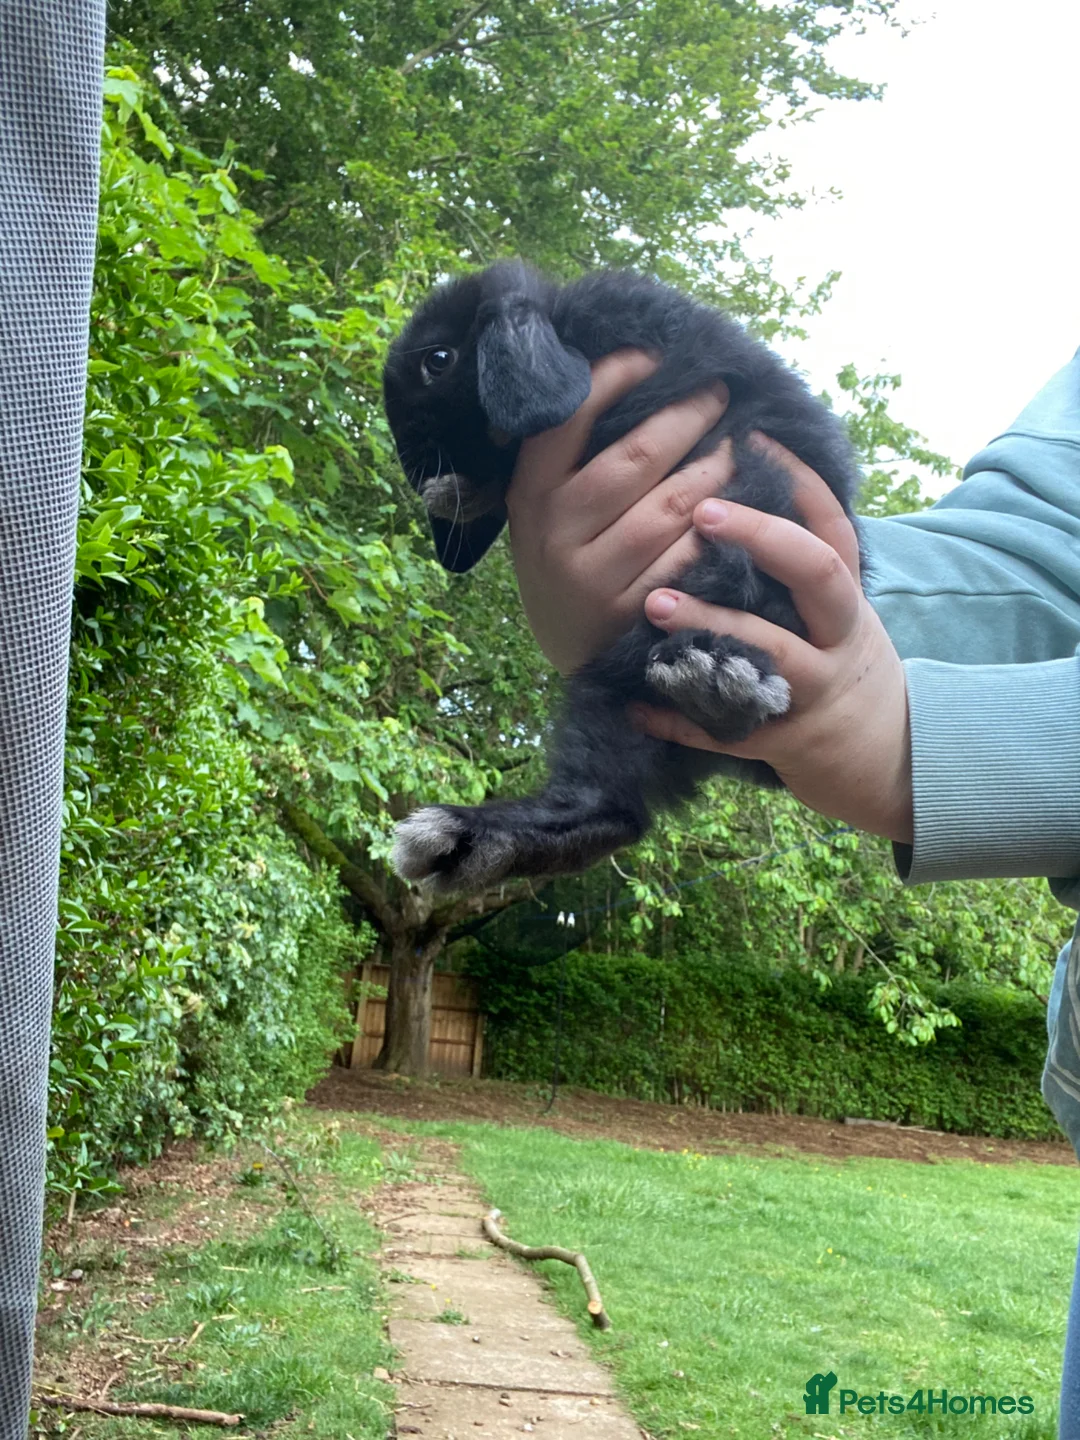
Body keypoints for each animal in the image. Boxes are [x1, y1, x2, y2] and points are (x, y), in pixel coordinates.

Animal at [383, 260, 861, 893]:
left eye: (437, 360)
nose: (416, 468)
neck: (564, 322)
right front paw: (458, 494)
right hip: (609, 701)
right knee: (608, 809)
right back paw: (466, 840)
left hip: (752, 525)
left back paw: (719, 678)